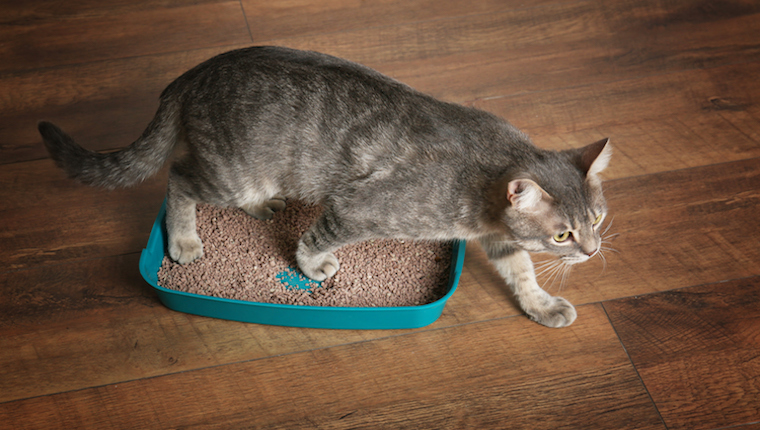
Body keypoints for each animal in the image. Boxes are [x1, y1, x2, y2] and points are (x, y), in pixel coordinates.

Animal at [40, 45, 612, 328]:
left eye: (597, 219)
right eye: (563, 235)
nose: (592, 250)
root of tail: (192, 74)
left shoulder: (497, 237)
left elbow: (522, 273)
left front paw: (542, 305)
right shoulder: (357, 207)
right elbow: (317, 238)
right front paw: (312, 265)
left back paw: (264, 207)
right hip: (230, 172)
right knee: (177, 179)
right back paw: (183, 239)